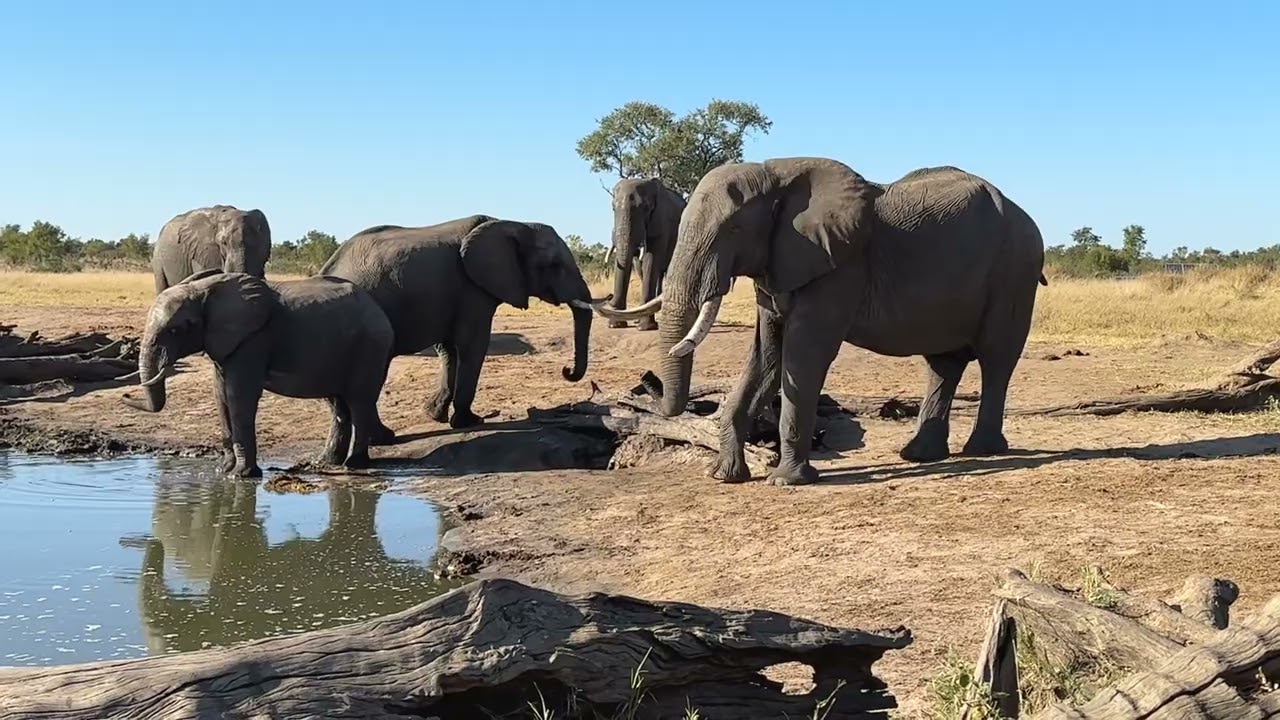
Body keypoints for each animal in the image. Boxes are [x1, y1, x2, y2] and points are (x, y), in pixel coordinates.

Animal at [119, 269, 394, 476]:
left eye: (177, 330)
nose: (124, 396)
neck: (203, 290)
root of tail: (378, 310)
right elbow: (221, 396)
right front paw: (223, 471)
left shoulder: (253, 339)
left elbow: (238, 396)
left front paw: (241, 475)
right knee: (339, 404)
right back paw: (325, 463)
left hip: (370, 346)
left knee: (358, 401)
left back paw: (352, 465)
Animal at [318, 214, 607, 436]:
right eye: (554, 265)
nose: (566, 370)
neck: (514, 223)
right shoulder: (472, 289)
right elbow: (473, 344)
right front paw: (470, 422)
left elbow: (450, 350)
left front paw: (435, 414)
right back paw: (382, 437)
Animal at [605, 177, 685, 331]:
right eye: (613, 208)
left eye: (646, 208)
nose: (609, 297)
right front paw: (615, 325)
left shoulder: (661, 223)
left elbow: (650, 261)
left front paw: (645, 327)